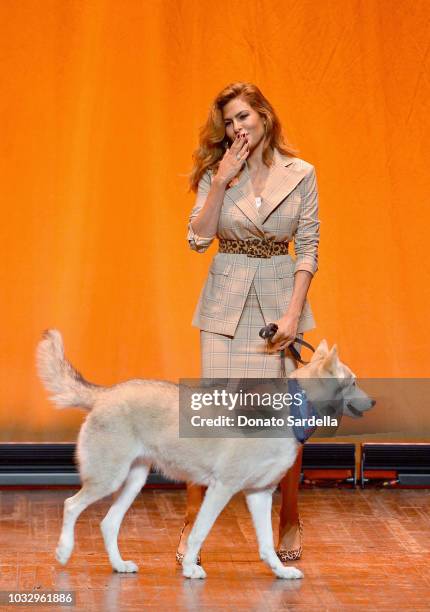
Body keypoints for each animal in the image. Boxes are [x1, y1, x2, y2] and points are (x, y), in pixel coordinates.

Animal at [36, 330, 372, 580]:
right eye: (353, 382)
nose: (374, 402)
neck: (295, 408)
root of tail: (106, 394)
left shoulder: (259, 494)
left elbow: (266, 545)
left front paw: (280, 571)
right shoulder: (221, 488)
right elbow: (199, 532)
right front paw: (189, 568)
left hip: (133, 481)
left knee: (108, 523)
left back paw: (118, 565)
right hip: (108, 479)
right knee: (71, 505)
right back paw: (64, 550)